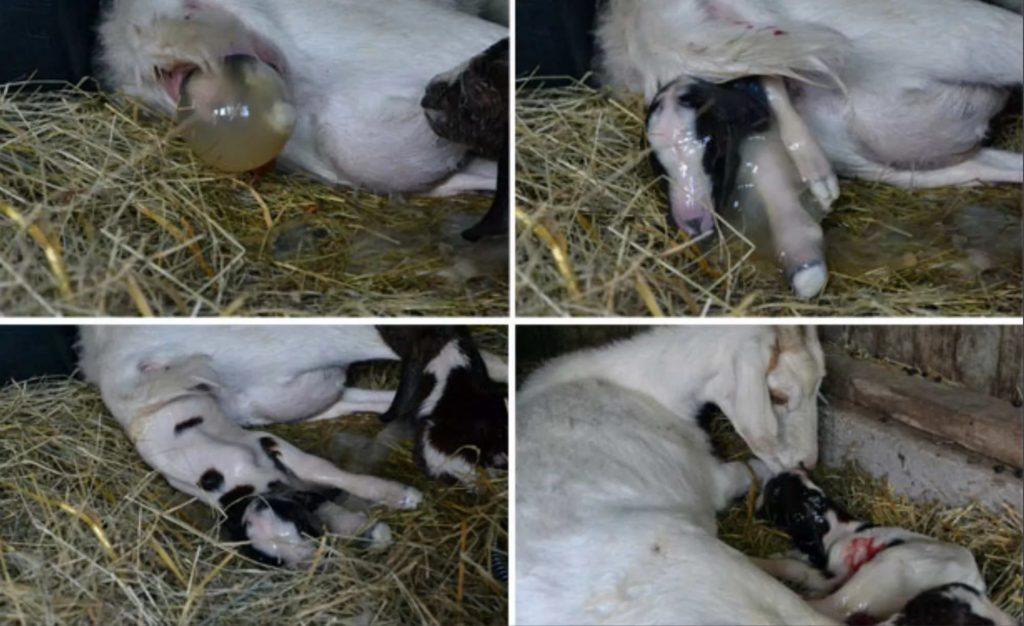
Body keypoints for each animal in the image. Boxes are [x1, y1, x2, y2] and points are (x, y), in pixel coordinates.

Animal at [516, 325, 835, 624]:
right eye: (777, 397)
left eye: (820, 382)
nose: (808, 461)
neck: (648, 389)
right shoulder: (713, 477)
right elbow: (751, 469)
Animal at [756, 469, 1015, 625]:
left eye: (778, 493)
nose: (784, 473)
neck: (837, 528)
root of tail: (976, 581)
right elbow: (792, 561)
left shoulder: (836, 572)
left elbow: (794, 568)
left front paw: (762, 564)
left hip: (883, 569)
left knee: (831, 607)